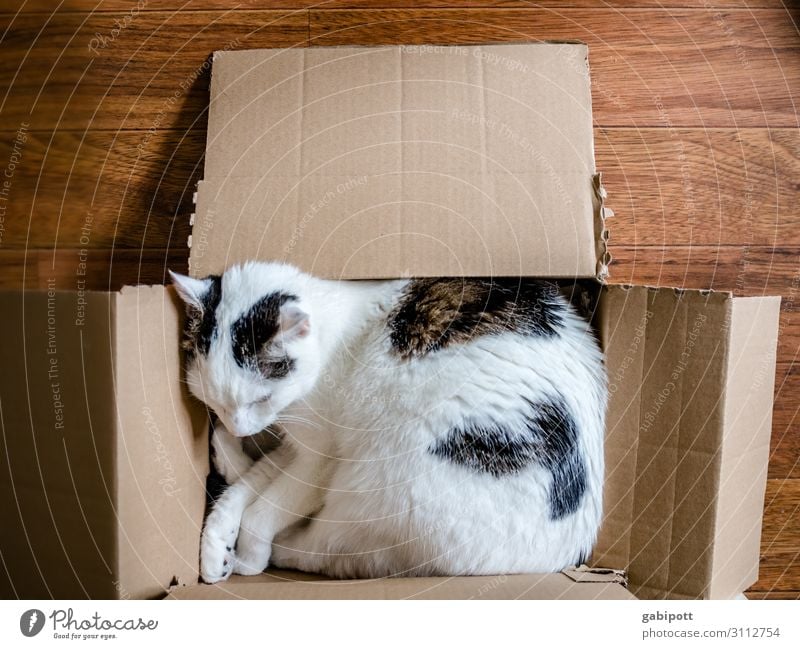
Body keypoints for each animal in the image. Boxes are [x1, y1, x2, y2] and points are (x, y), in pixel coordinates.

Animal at [169, 262, 608, 584]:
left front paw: (247, 554)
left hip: (377, 480)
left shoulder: (320, 458)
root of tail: (553, 559)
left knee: (327, 548)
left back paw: (266, 552)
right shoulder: (299, 447)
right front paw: (217, 544)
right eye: (213, 401)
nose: (239, 428)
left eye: (260, 399)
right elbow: (250, 486)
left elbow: (263, 510)